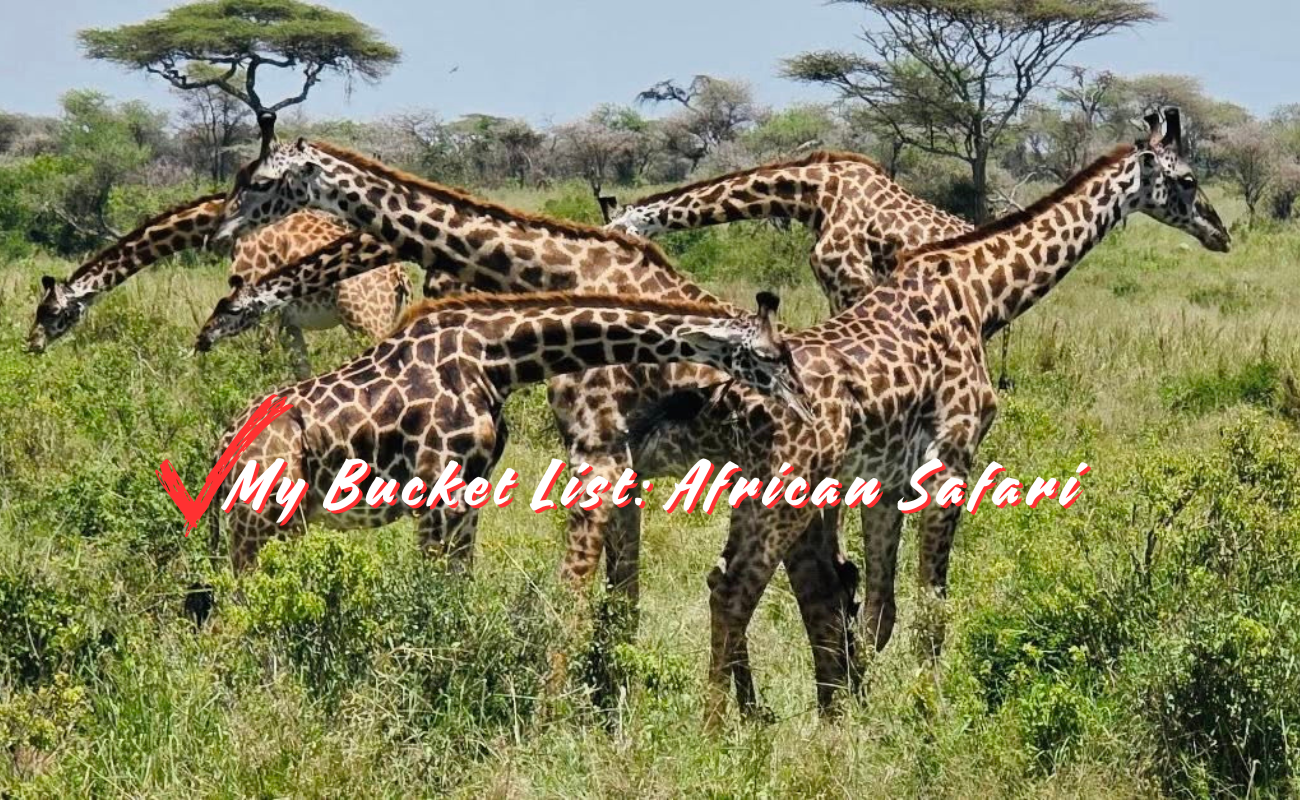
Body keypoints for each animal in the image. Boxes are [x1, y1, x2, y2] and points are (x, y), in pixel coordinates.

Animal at [25, 195, 414, 377]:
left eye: (52, 311)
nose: (32, 343)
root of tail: (399, 277)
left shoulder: (257, 306)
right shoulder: (287, 319)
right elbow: (299, 369)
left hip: (364, 320)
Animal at [211, 290, 809, 572]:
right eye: (769, 355)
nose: (803, 406)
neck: (496, 358)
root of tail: (222, 445)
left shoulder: (468, 490)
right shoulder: (437, 490)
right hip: (259, 519)